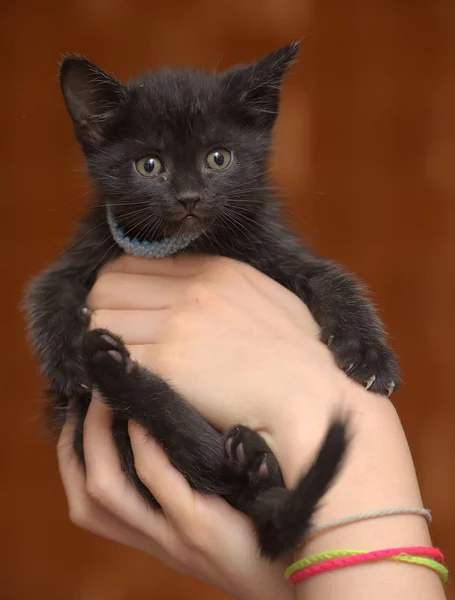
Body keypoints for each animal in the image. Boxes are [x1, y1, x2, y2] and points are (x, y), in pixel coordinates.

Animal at [25, 43, 400, 564]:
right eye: (149, 165)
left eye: (218, 158)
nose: (189, 197)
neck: (190, 244)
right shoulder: (83, 252)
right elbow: (47, 290)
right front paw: (64, 362)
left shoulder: (279, 248)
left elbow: (335, 280)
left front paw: (368, 355)